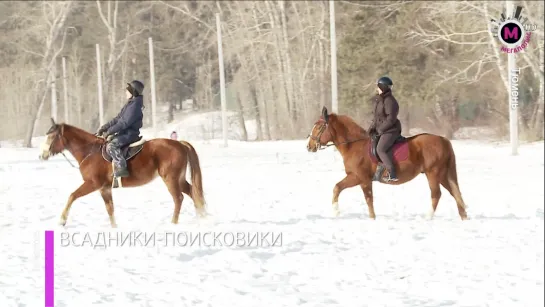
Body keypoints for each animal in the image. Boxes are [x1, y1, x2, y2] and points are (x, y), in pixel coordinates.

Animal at [37, 119, 205, 227]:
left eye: (52, 136)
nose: (42, 155)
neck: (90, 151)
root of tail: (179, 144)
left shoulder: (92, 184)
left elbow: (72, 196)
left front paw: (62, 220)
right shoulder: (104, 188)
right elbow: (110, 209)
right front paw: (114, 228)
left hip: (170, 179)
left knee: (179, 198)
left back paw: (174, 223)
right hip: (179, 179)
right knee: (193, 192)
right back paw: (201, 217)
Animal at [306, 107, 468, 220]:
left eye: (319, 127)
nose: (309, 146)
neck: (355, 146)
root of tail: (443, 140)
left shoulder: (362, 179)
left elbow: (368, 198)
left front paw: (372, 218)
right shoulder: (354, 177)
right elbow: (337, 188)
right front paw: (336, 212)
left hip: (433, 173)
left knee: (436, 194)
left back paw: (428, 217)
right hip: (443, 175)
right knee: (454, 192)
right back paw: (464, 217)